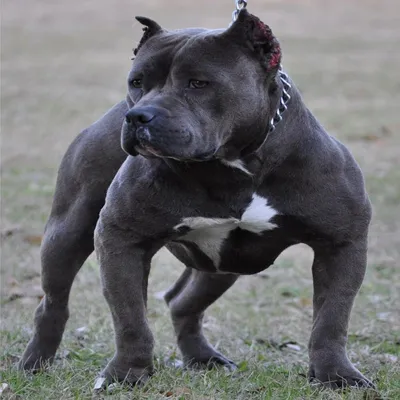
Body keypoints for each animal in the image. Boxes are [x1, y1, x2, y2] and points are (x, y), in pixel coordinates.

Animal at [18, 9, 376, 390]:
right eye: (136, 81)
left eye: (198, 83)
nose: (138, 115)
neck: (231, 165)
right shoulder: (120, 240)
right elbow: (131, 320)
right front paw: (126, 375)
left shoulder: (341, 244)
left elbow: (331, 320)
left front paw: (337, 375)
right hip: (67, 233)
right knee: (53, 302)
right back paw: (34, 362)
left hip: (224, 264)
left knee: (181, 302)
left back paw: (204, 358)